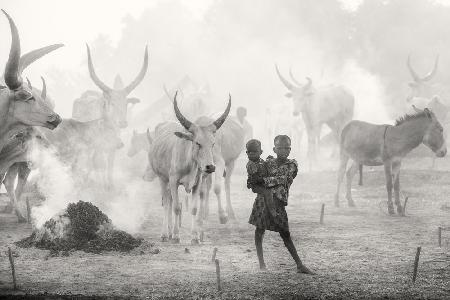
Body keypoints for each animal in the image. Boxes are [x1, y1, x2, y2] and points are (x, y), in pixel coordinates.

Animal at [149, 92, 230, 244]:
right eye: (197, 143)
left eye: (213, 143)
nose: (210, 167)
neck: (189, 163)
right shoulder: (173, 181)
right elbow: (176, 207)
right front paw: (176, 236)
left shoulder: (197, 183)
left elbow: (193, 208)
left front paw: (195, 237)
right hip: (162, 179)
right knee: (167, 203)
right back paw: (165, 234)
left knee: (169, 201)